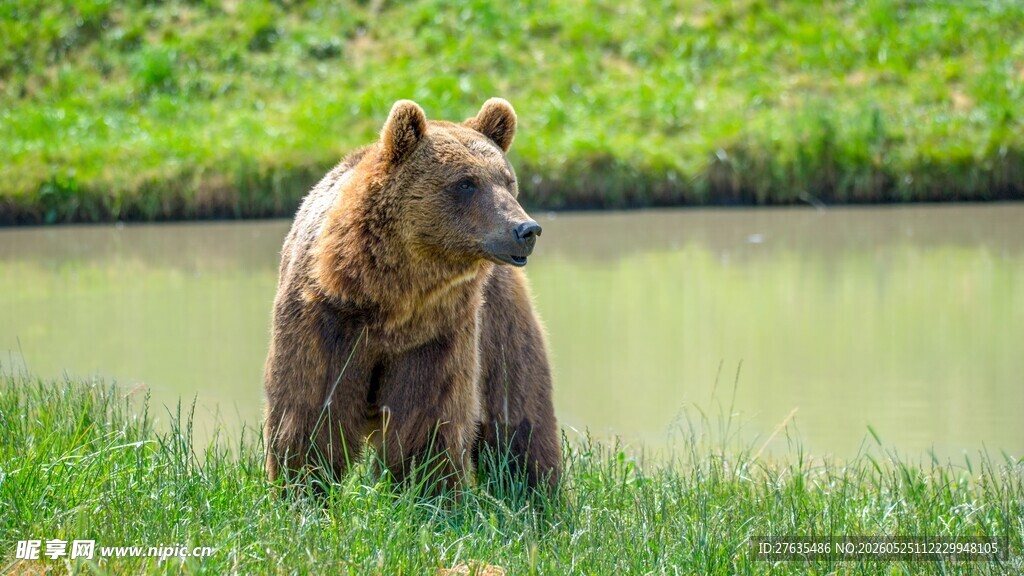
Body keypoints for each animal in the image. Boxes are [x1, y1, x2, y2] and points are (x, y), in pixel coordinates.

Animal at [263, 98, 561, 494]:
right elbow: (311, 408)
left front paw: (424, 486)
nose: (526, 229)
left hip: (500, 322)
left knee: (519, 412)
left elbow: (427, 414)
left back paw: (535, 492)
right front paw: (305, 486)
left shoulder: (436, 332)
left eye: (508, 180)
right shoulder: (325, 319)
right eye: (466, 182)